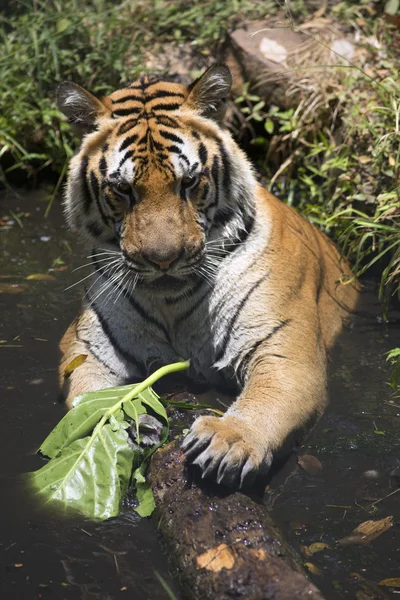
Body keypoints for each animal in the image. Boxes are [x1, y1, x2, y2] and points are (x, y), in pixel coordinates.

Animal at [57, 64, 360, 488]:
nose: (163, 259)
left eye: (188, 182)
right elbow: (86, 400)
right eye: (123, 189)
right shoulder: (89, 346)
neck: (171, 301)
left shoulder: (283, 346)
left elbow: (269, 395)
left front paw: (228, 440)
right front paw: (125, 421)